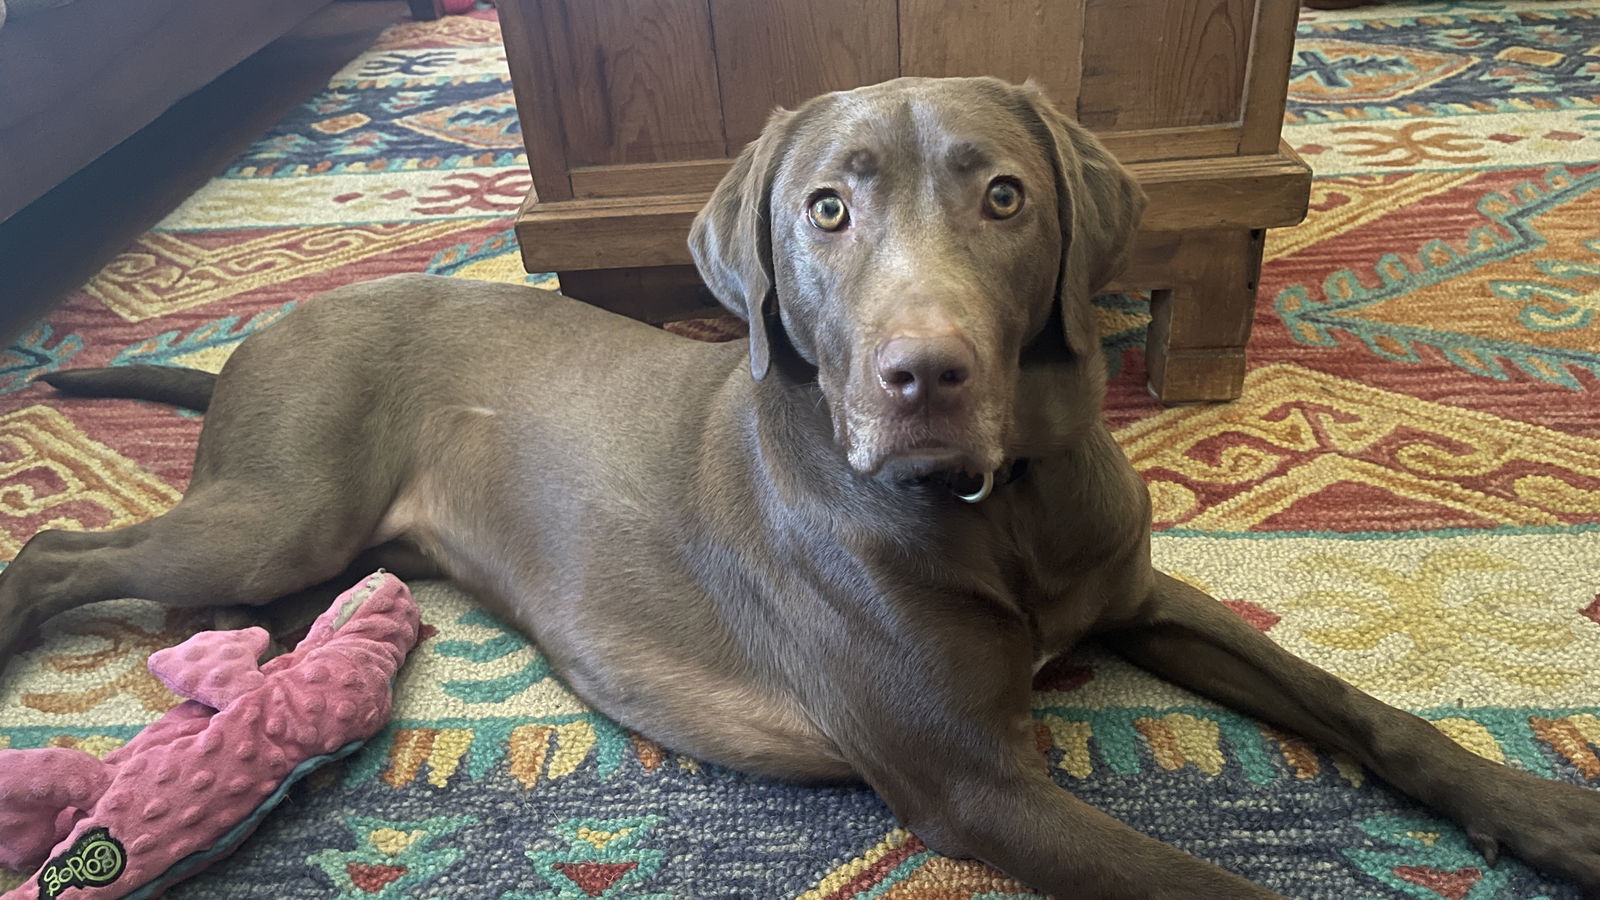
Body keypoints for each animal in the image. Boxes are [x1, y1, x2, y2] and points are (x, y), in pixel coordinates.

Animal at [0, 78, 1593, 896]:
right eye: (826, 210)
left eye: (1003, 195)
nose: (921, 374)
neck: (1000, 508)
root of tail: (265, 332)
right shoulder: (975, 782)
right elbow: (1210, 885)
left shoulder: (1141, 598)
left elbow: (1357, 704)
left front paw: (1543, 812)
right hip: (276, 510)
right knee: (59, 553)